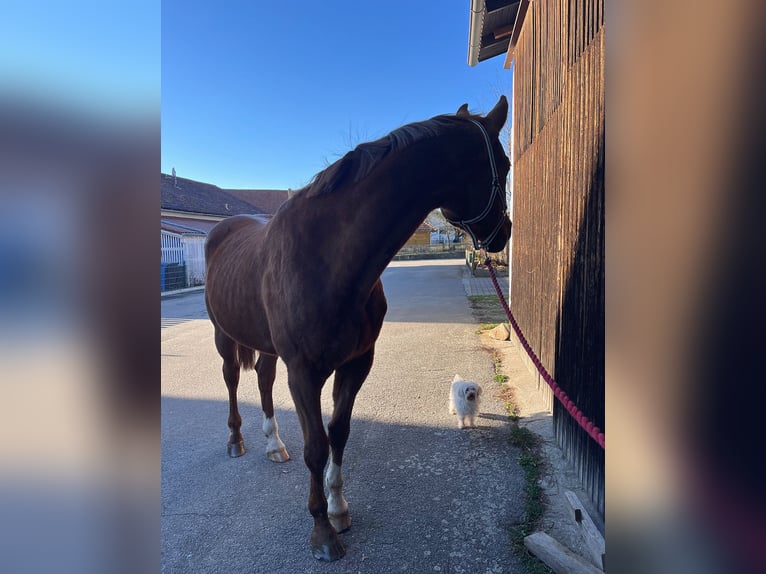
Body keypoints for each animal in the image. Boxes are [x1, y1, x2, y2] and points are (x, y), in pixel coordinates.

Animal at [207, 98, 512, 564]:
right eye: (505, 164)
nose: (504, 233)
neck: (329, 258)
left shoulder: (356, 363)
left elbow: (339, 432)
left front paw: (338, 509)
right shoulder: (304, 372)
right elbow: (316, 445)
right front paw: (322, 533)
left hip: (268, 348)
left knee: (262, 379)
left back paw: (273, 445)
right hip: (224, 337)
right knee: (230, 380)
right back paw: (236, 439)